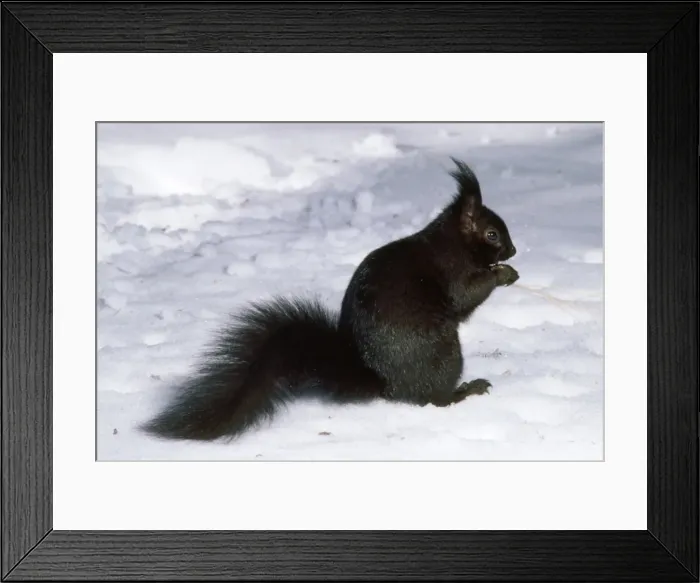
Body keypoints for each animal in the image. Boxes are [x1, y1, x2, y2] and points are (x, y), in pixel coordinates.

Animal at [141, 158, 519, 441]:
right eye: (491, 234)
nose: (513, 251)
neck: (453, 241)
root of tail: (383, 382)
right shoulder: (451, 271)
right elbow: (466, 295)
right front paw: (503, 274)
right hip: (444, 353)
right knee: (431, 399)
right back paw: (465, 390)